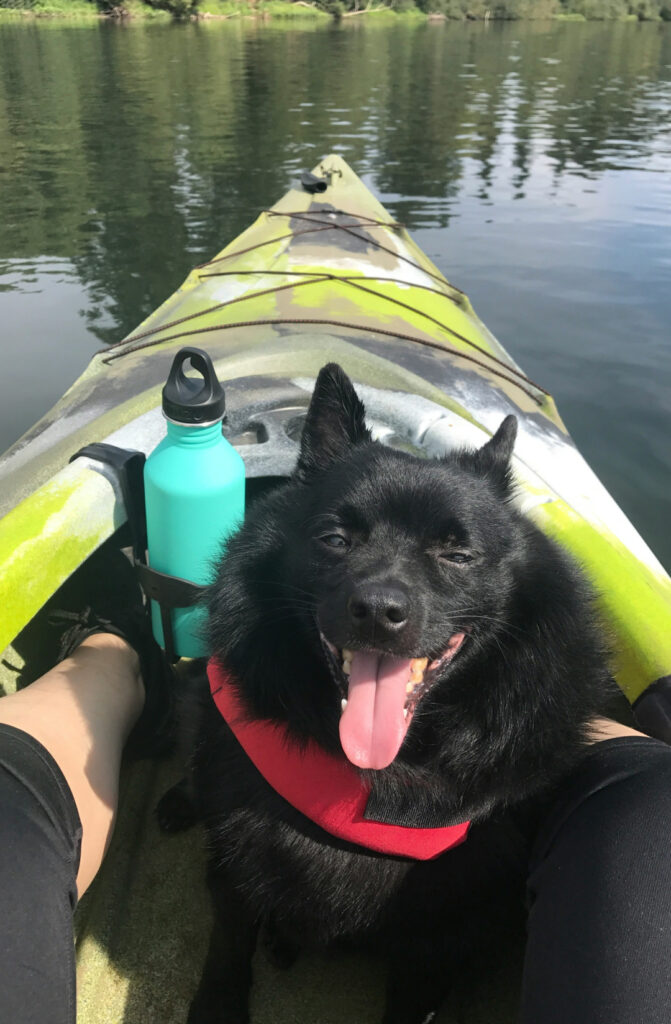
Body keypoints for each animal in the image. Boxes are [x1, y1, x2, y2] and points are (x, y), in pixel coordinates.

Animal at [161, 364, 614, 1019]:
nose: (378, 610)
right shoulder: (234, 863)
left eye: (459, 553)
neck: (380, 776)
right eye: (334, 539)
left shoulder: (441, 939)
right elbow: (226, 950)